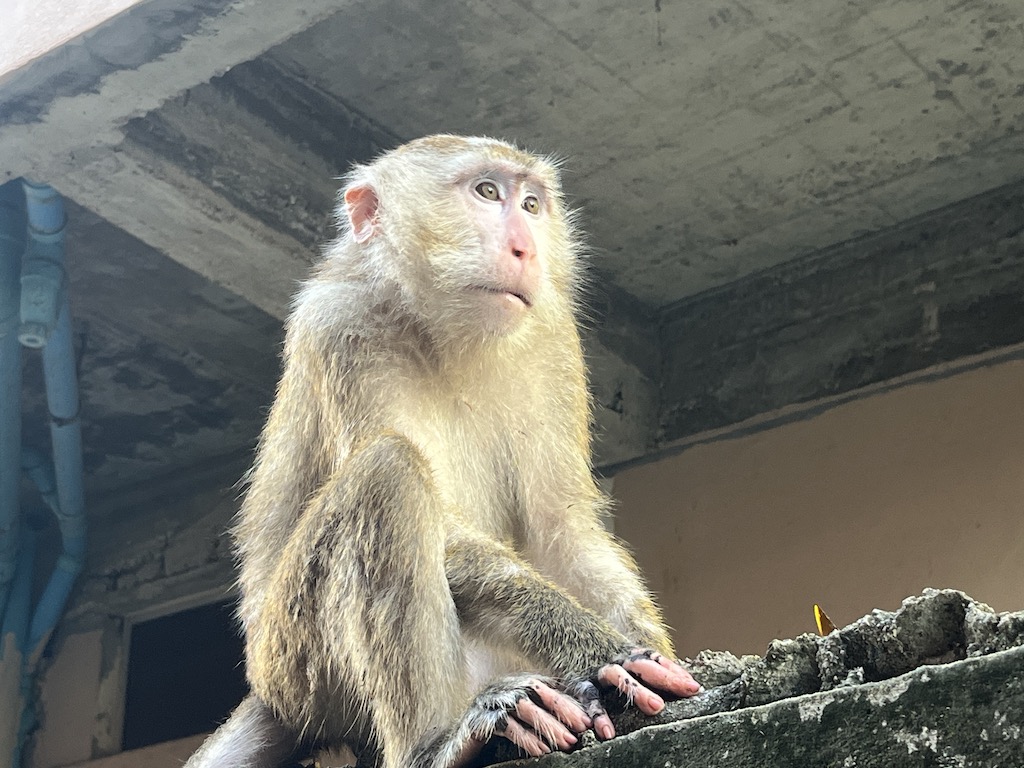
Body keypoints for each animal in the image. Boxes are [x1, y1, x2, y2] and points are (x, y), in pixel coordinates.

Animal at [184, 135, 700, 768]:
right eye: (487, 192)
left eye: (531, 204)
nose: (526, 248)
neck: (446, 331)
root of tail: (268, 691)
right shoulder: (338, 322)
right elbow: (443, 525)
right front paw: (600, 652)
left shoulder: (554, 339)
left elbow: (560, 527)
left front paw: (649, 650)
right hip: (298, 663)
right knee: (389, 470)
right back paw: (436, 742)